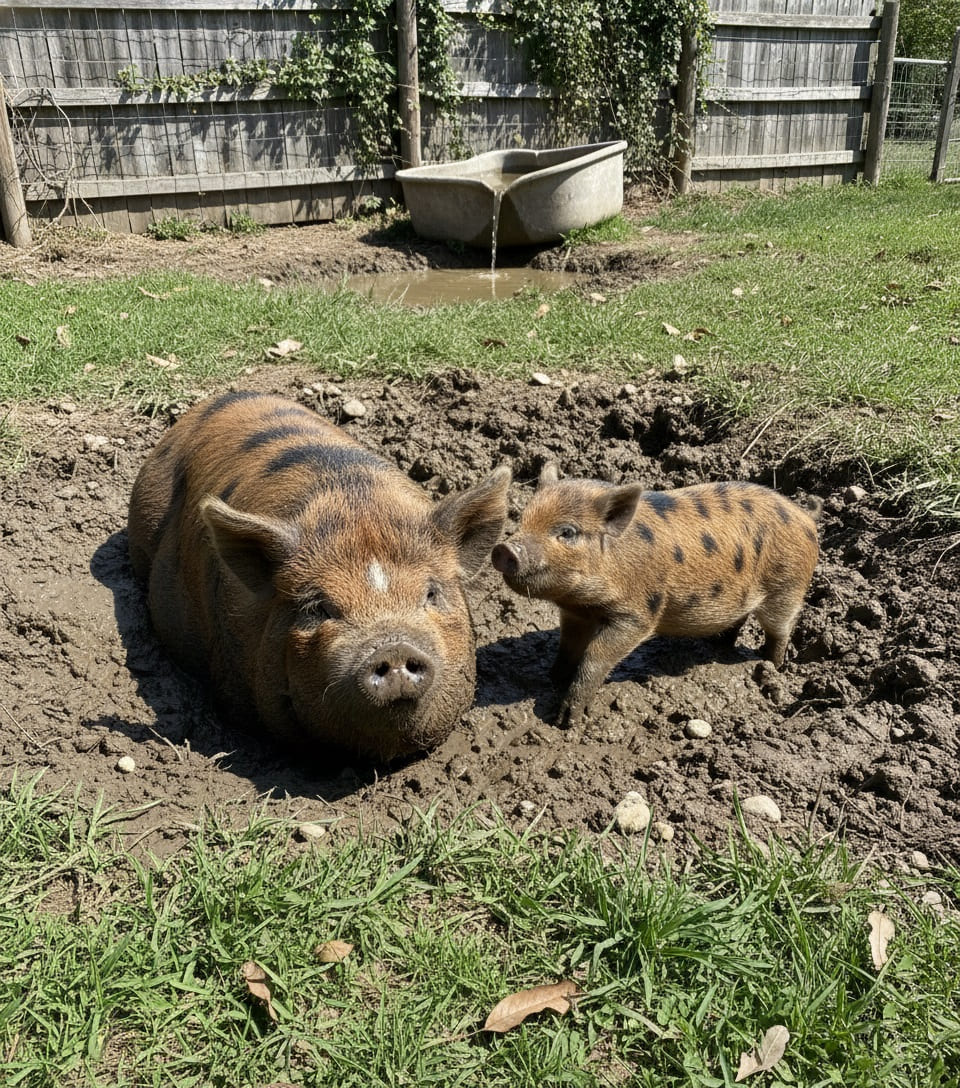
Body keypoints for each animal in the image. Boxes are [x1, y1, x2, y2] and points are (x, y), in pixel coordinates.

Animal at [491, 464, 819, 727]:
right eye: (523, 518)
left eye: (568, 532)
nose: (504, 549)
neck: (586, 600)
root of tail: (805, 517)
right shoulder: (575, 612)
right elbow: (568, 646)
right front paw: (552, 678)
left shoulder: (638, 613)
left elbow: (596, 655)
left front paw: (565, 720)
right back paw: (718, 646)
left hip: (787, 586)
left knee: (779, 630)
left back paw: (771, 665)